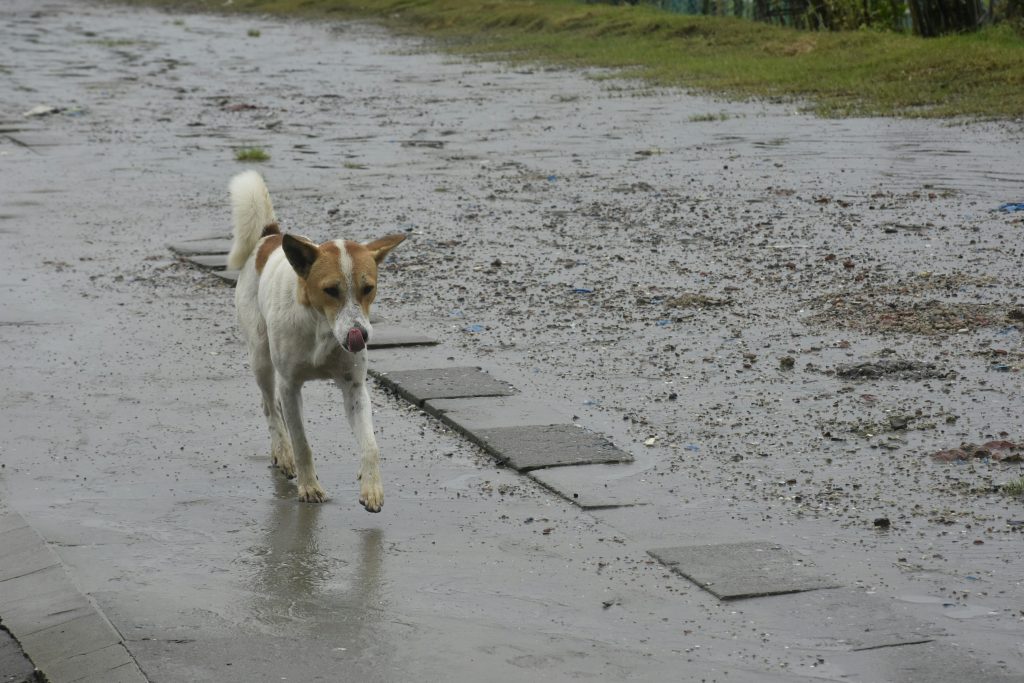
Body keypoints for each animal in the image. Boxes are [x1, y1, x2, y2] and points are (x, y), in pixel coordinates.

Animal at [228, 172, 403, 511]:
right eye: (331, 290)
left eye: (369, 288)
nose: (360, 335)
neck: (322, 330)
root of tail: (270, 237)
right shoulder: (290, 386)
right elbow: (302, 442)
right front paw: (309, 486)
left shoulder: (354, 387)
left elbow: (371, 445)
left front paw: (371, 488)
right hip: (261, 358)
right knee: (270, 407)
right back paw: (282, 453)